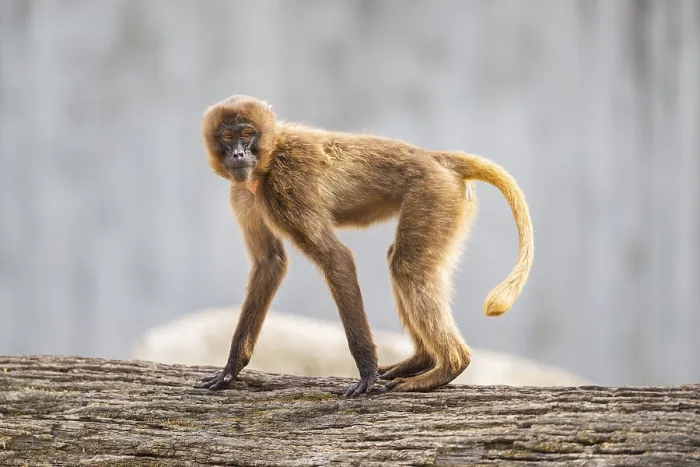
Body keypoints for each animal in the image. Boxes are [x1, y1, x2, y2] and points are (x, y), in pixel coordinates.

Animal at [196, 94, 534, 396]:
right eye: (227, 136)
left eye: (247, 134)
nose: (239, 155)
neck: (268, 160)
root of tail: (435, 157)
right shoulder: (242, 193)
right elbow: (270, 263)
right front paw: (231, 369)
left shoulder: (286, 186)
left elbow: (337, 259)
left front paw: (367, 372)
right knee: (402, 263)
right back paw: (422, 360)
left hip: (435, 192)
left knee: (407, 266)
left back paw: (450, 365)